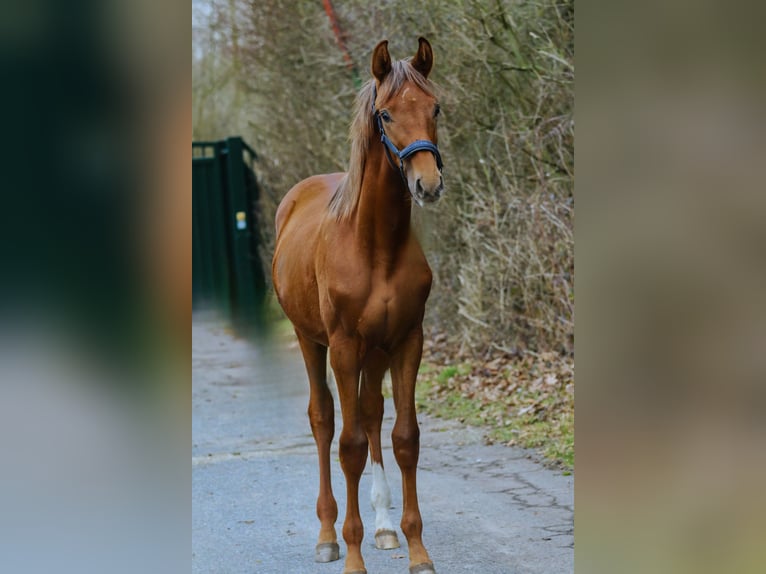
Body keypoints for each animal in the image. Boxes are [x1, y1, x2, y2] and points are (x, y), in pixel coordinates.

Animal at [274, 38, 444, 572]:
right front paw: (351, 552)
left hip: (378, 351)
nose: (427, 184)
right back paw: (327, 534)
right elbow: (347, 445)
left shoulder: (408, 340)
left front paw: (416, 549)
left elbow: (405, 438)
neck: (375, 246)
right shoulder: (345, 346)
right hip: (312, 341)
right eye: (385, 114)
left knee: (370, 414)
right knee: (325, 420)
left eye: (435, 107)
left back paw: (385, 526)